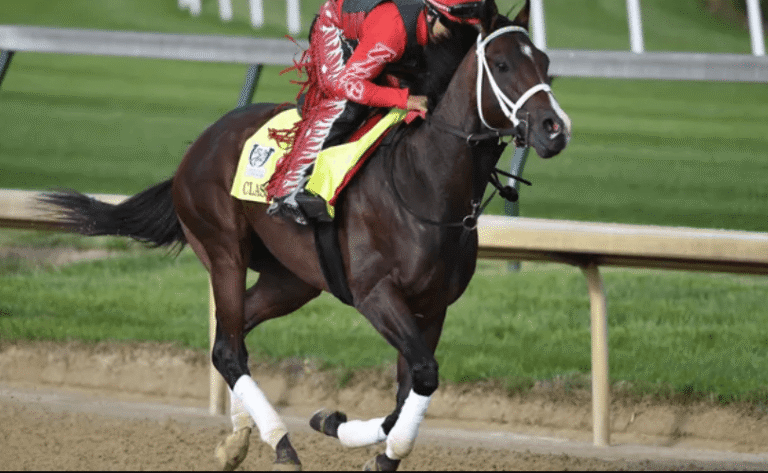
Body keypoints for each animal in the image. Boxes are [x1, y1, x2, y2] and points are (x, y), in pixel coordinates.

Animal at [40, 1, 570, 470]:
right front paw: (355, 438)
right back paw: (280, 444)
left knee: (234, 335)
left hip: (291, 280)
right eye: (501, 64)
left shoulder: (432, 306)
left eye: (545, 63)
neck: (423, 182)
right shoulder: (376, 294)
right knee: (228, 348)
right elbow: (423, 376)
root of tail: (199, 145)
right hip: (224, 250)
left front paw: (350, 432)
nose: (555, 129)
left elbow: (408, 393)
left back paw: (238, 440)